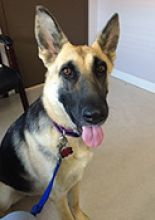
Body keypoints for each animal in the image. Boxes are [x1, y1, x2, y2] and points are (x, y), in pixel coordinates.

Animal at [0, 5, 120, 220]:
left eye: (100, 68)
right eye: (67, 72)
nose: (96, 116)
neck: (65, 135)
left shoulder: (76, 181)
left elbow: (76, 204)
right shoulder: (58, 196)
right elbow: (67, 214)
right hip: (4, 194)